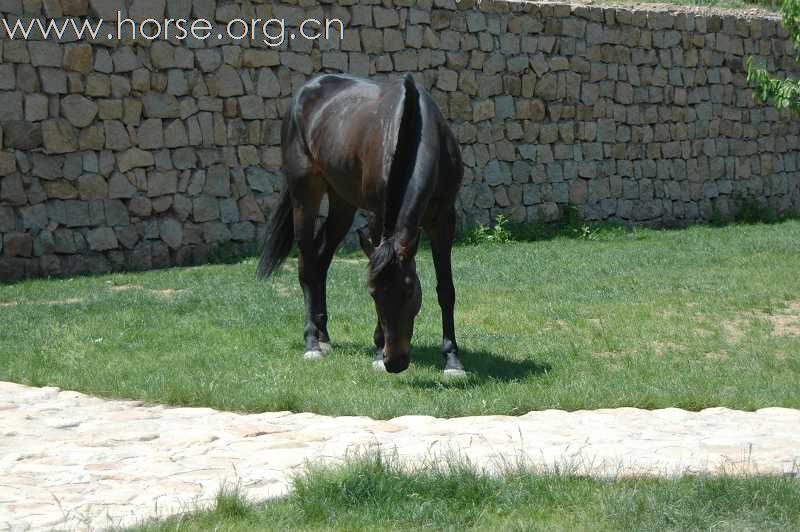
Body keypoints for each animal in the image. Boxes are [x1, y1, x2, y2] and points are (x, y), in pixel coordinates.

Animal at [256, 72, 466, 376]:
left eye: (410, 291)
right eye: (373, 294)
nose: (395, 362)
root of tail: (305, 91)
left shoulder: (444, 219)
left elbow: (446, 289)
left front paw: (452, 359)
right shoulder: (378, 216)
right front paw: (377, 351)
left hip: (342, 203)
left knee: (321, 260)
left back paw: (324, 335)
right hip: (304, 194)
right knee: (307, 265)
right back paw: (312, 342)